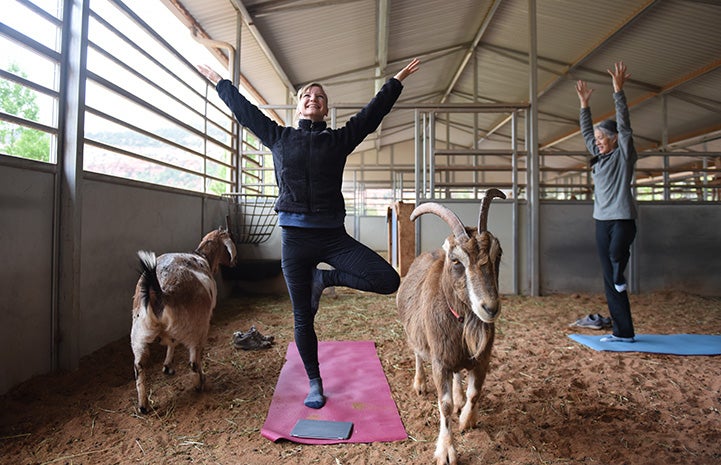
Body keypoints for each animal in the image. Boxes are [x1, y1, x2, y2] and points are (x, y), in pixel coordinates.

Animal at [129, 227, 236, 412]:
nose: (234, 264)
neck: (203, 256)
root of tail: (161, 291)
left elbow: (171, 343)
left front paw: (167, 366)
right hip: (196, 328)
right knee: (193, 361)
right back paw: (200, 383)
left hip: (138, 334)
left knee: (139, 367)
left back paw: (143, 405)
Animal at [394, 188, 506, 464]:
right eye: (456, 261)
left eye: (497, 255)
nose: (490, 308)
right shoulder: (440, 359)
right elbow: (443, 404)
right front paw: (446, 450)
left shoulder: (482, 357)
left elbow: (475, 392)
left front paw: (467, 419)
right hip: (416, 336)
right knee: (417, 354)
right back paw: (420, 384)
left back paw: (459, 398)